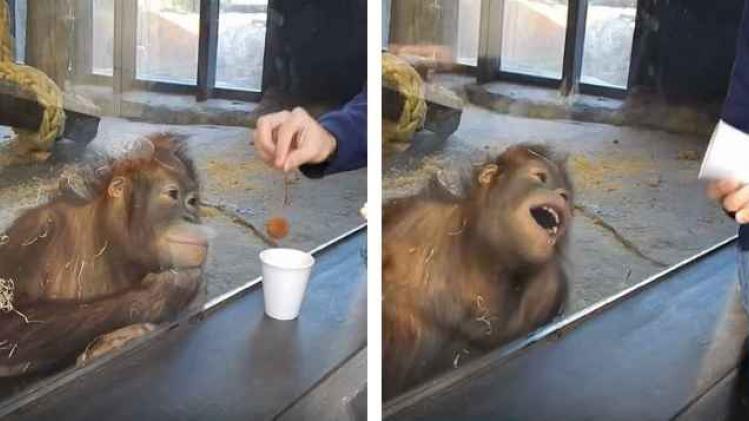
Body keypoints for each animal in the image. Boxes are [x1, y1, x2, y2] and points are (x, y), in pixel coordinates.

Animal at [0, 133, 209, 377]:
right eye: (173, 194)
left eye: (193, 201)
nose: (191, 218)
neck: (107, 238)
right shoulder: (31, 232)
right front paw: (167, 290)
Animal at [382, 144, 573, 399]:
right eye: (540, 177)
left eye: (566, 196)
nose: (561, 195)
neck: (483, 252)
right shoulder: (412, 214)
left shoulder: (550, 285)